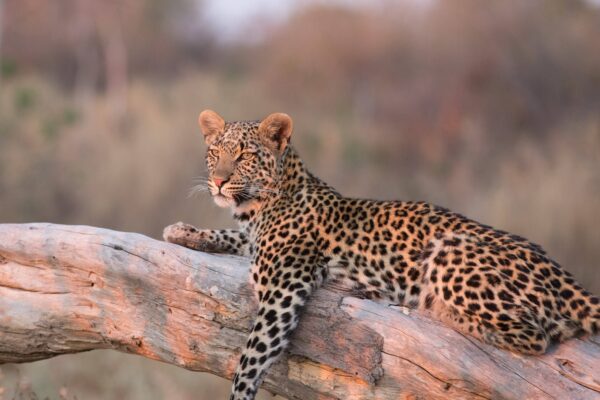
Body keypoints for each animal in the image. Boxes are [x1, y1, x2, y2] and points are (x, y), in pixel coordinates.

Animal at [162, 109, 596, 400]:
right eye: (215, 153)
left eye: (245, 156)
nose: (219, 181)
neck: (261, 206)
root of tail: (561, 273)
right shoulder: (252, 241)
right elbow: (231, 237)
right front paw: (181, 231)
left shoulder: (283, 292)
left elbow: (251, 357)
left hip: (448, 251)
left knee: (539, 335)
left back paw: (433, 308)